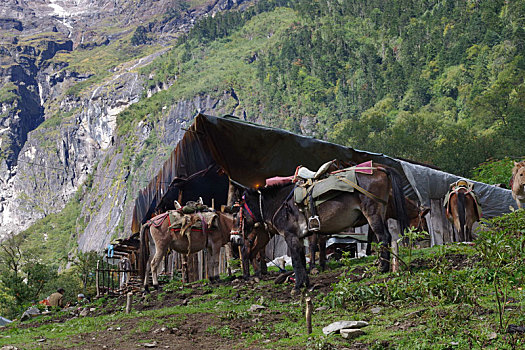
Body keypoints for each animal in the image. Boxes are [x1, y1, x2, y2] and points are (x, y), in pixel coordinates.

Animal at [239, 165, 408, 292]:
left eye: (239, 209)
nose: (241, 233)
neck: (280, 204)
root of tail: (379, 169)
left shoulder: (290, 236)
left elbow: (296, 261)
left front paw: (297, 286)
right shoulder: (300, 237)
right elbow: (301, 259)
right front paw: (305, 284)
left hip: (372, 213)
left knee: (383, 238)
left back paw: (383, 267)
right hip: (380, 213)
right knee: (386, 237)